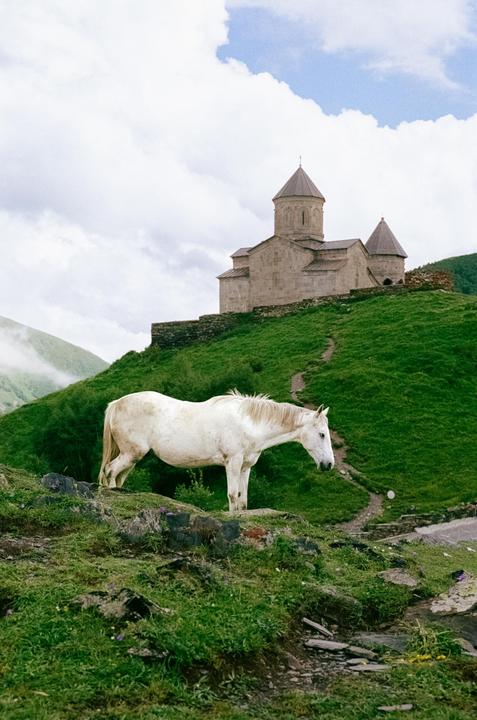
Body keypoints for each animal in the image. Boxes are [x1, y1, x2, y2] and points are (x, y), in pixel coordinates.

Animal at [98, 390, 334, 512]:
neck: (248, 423)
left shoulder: (245, 467)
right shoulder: (232, 463)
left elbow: (242, 500)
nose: (329, 464)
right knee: (110, 471)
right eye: (322, 434)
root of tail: (116, 404)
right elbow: (232, 495)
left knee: (117, 475)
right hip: (131, 453)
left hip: (132, 457)